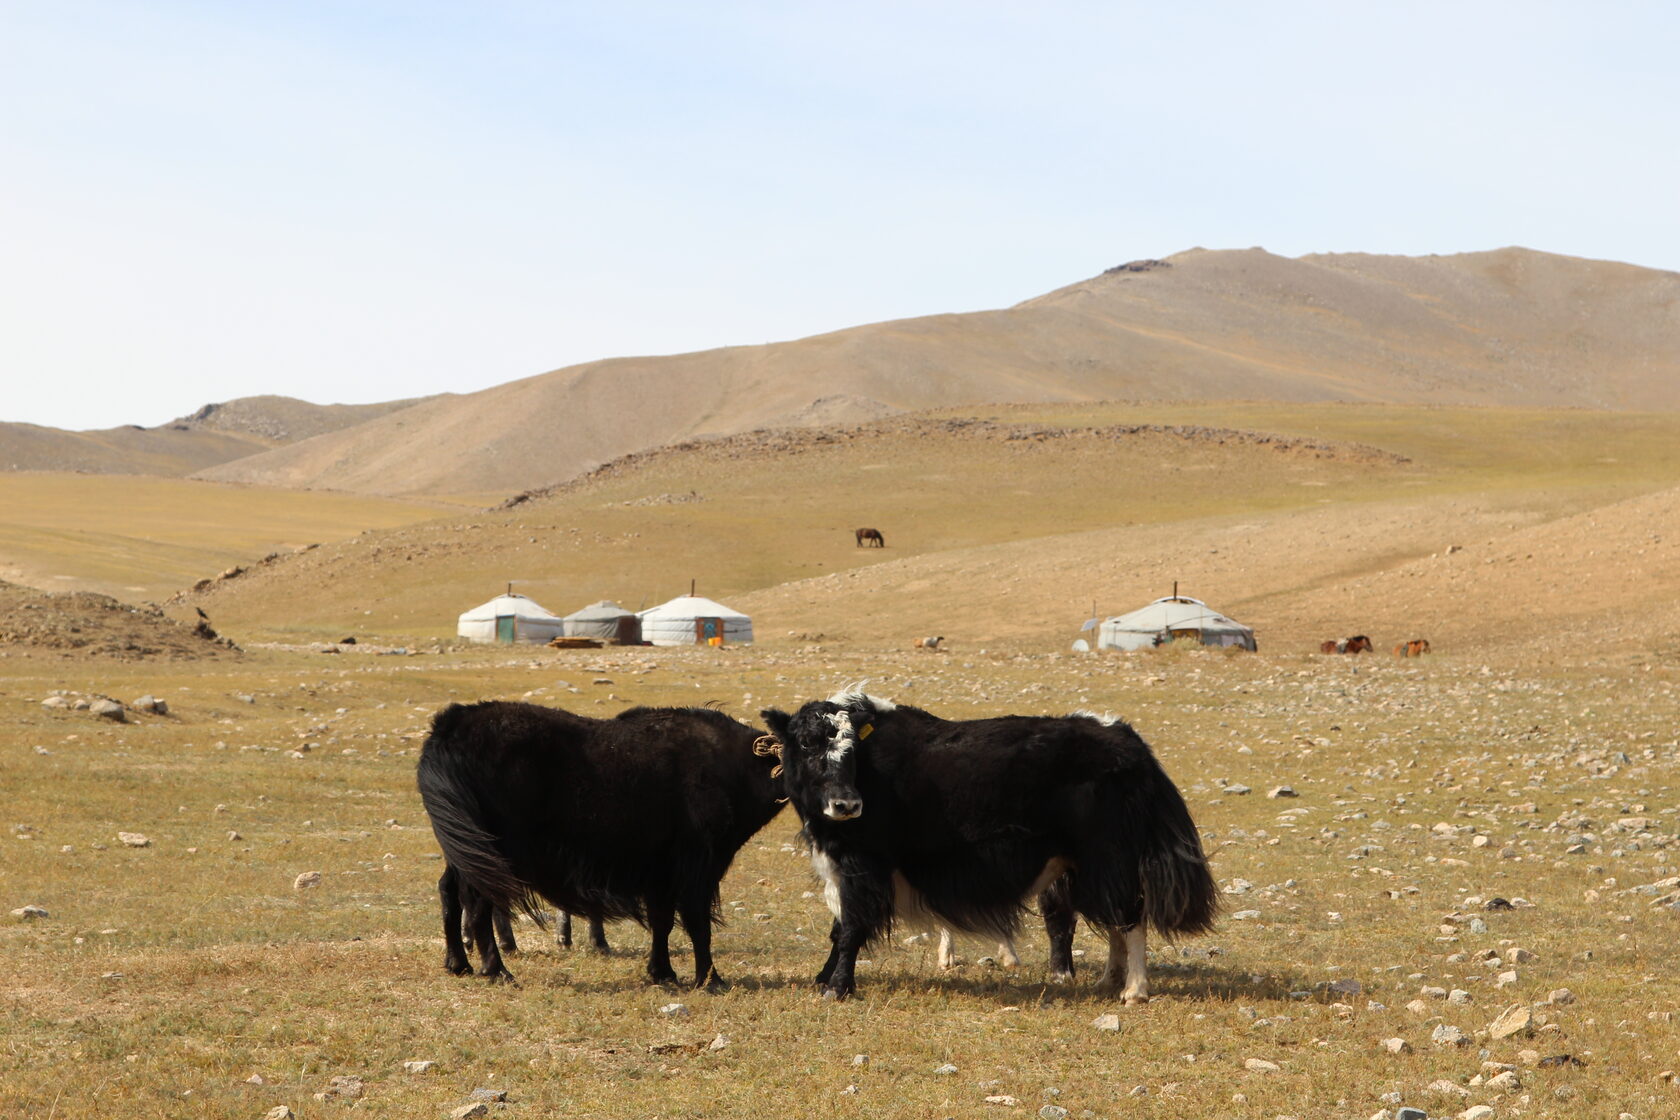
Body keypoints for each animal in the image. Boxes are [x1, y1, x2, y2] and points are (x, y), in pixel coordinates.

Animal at [766, 688, 1223, 1000]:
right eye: (806, 743)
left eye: (852, 750)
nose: (847, 805)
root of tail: (1132, 744)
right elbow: (838, 925)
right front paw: (823, 978)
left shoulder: (863, 863)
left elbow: (851, 927)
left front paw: (837, 988)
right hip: (1087, 864)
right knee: (1113, 918)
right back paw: (1108, 980)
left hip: (1110, 855)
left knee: (1130, 916)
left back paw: (1134, 991)